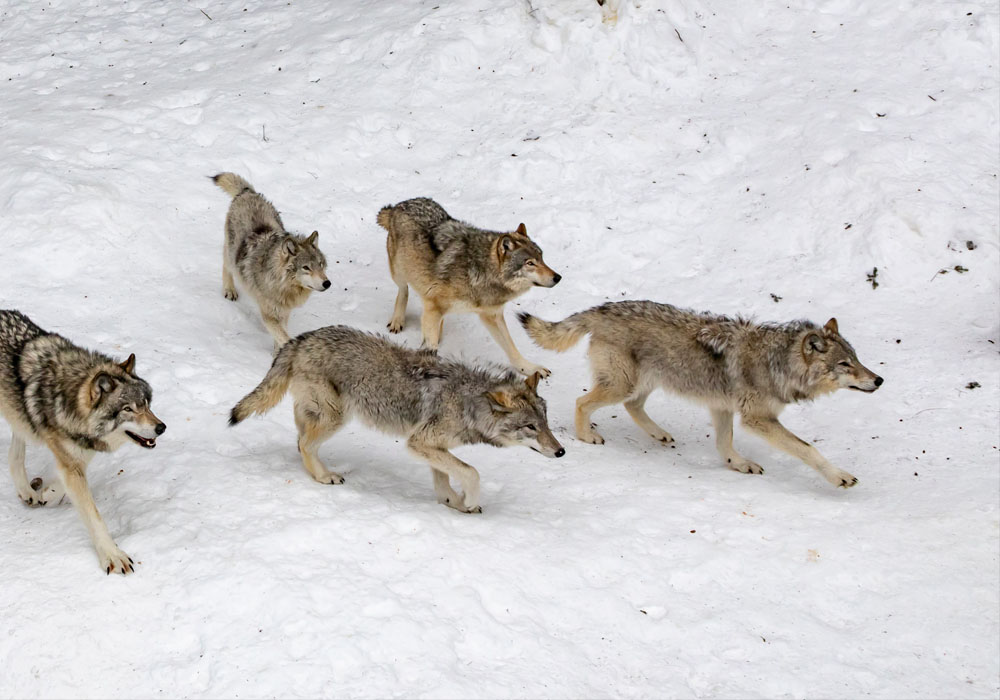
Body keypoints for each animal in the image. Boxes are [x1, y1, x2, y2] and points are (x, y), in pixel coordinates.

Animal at [0, 310, 166, 574]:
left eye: (146, 404)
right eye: (128, 409)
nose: (161, 427)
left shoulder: (78, 454)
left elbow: (62, 483)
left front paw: (48, 494)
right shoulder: (70, 461)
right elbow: (94, 516)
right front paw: (112, 555)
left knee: (15, 452)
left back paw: (27, 491)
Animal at [212, 172, 331, 353]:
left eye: (321, 265)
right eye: (306, 268)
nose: (327, 283)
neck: (282, 285)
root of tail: (248, 193)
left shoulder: (284, 311)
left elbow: (280, 335)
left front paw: (278, 352)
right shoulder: (269, 315)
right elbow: (283, 336)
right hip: (231, 253)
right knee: (226, 265)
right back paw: (229, 290)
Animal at [229, 325, 564, 512]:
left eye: (546, 424)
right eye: (530, 427)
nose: (561, 451)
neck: (468, 402)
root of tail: (300, 338)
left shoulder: (433, 447)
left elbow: (445, 480)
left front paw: (454, 504)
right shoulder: (420, 443)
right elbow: (472, 473)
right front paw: (468, 501)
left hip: (322, 414)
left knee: (299, 439)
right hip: (336, 417)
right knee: (304, 444)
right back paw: (324, 476)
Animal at [377, 197, 561, 377]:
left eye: (542, 258)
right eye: (530, 263)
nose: (558, 277)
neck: (479, 272)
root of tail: (400, 205)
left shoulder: (492, 315)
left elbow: (512, 348)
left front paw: (530, 369)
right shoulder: (434, 307)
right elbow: (431, 345)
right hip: (399, 272)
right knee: (403, 291)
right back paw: (397, 321)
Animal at [519, 301, 883, 488]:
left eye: (857, 359)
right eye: (845, 364)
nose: (879, 380)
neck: (777, 363)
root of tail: (602, 308)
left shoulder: (722, 407)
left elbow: (724, 444)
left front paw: (738, 464)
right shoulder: (758, 419)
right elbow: (808, 449)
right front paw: (839, 476)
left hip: (645, 382)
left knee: (632, 406)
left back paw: (660, 434)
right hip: (623, 383)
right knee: (583, 402)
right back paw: (587, 436)